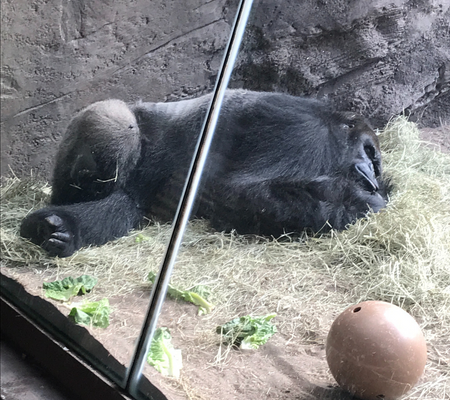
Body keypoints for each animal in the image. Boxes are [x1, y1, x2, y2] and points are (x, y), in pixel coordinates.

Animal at [20, 90, 390, 258]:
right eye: (371, 152)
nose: (372, 176)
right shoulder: (306, 132)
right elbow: (242, 192)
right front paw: (364, 203)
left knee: (125, 207)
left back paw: (65, 229)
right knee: (114, 123)